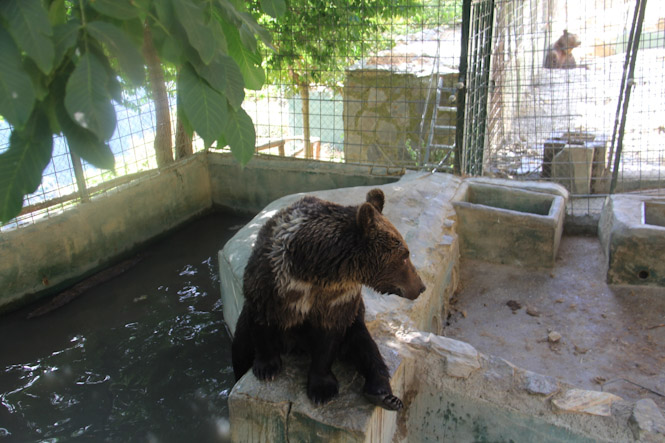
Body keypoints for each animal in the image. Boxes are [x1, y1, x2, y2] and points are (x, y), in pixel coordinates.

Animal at [231, 189, 426, 410]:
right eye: (405, 255)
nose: (421, 286)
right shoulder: (271, 281)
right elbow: (261, 321)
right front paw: (267, 368)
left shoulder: (338, 300)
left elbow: (329, 339)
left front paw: (322, 389)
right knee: (240, 348)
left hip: (356, 324)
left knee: (366, 346)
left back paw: (385, 396)